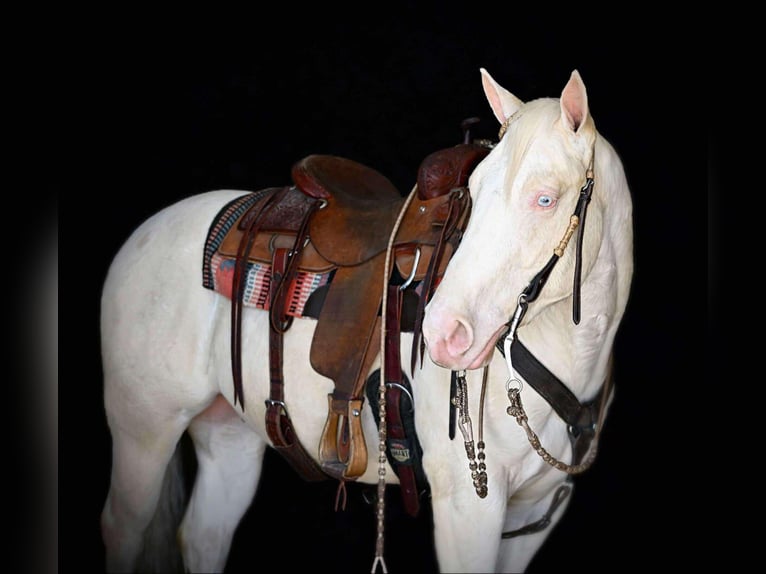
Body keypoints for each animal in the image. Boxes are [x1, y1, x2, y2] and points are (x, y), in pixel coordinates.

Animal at [99, 70, 632, 572]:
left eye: (546, 199)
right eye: (476, 193)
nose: (443, 333)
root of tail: (148, 232)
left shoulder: (533, 514)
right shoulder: (468, 508)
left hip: (228, 434)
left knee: (202, 537)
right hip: (144, 433)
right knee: (124, 529)